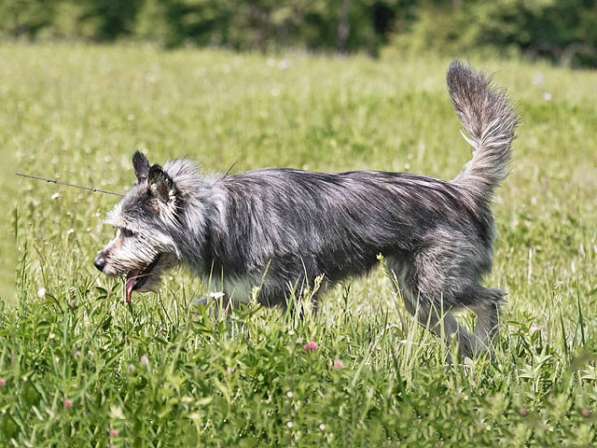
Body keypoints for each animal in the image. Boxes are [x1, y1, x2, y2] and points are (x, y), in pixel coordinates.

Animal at [94, 61, 516, 358]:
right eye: (117, 228)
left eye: (130, 232)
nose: (99, 262)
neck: (218, 220)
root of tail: (461, 191)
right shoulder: (242, 291)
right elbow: (217, 307)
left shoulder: (295, 290)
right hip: (419, 298)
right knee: (456, 330)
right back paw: (473, 359)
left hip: (438, 287)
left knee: (491, 299)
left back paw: (487, 350)